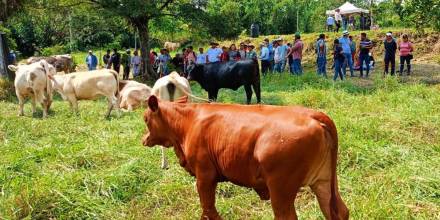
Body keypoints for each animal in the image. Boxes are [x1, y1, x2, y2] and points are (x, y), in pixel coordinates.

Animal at [143, 96, 348, 220]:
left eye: (146, 119)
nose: (143, 139)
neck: (188, 121)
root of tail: (313, 114)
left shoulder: (204, 176)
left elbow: (208, 209)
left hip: (281, 191)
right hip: (324, 182)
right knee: (338, 211)